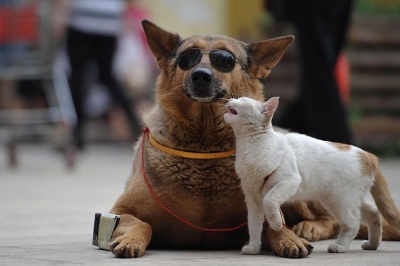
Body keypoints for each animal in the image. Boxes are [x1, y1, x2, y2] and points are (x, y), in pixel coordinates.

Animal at [223, 96, 400, 255]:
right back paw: (372, 244)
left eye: (243, 100)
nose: (229, 99)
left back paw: (340, 246)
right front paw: (253, 247)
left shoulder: (288, 181)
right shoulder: (253, 200)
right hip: (347, 200)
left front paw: (276, 223)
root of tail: (368, 155)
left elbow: (270, 201)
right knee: (373, 213)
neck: (249, 146)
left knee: (353, 223)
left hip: (339, 202)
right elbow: (253, 226)